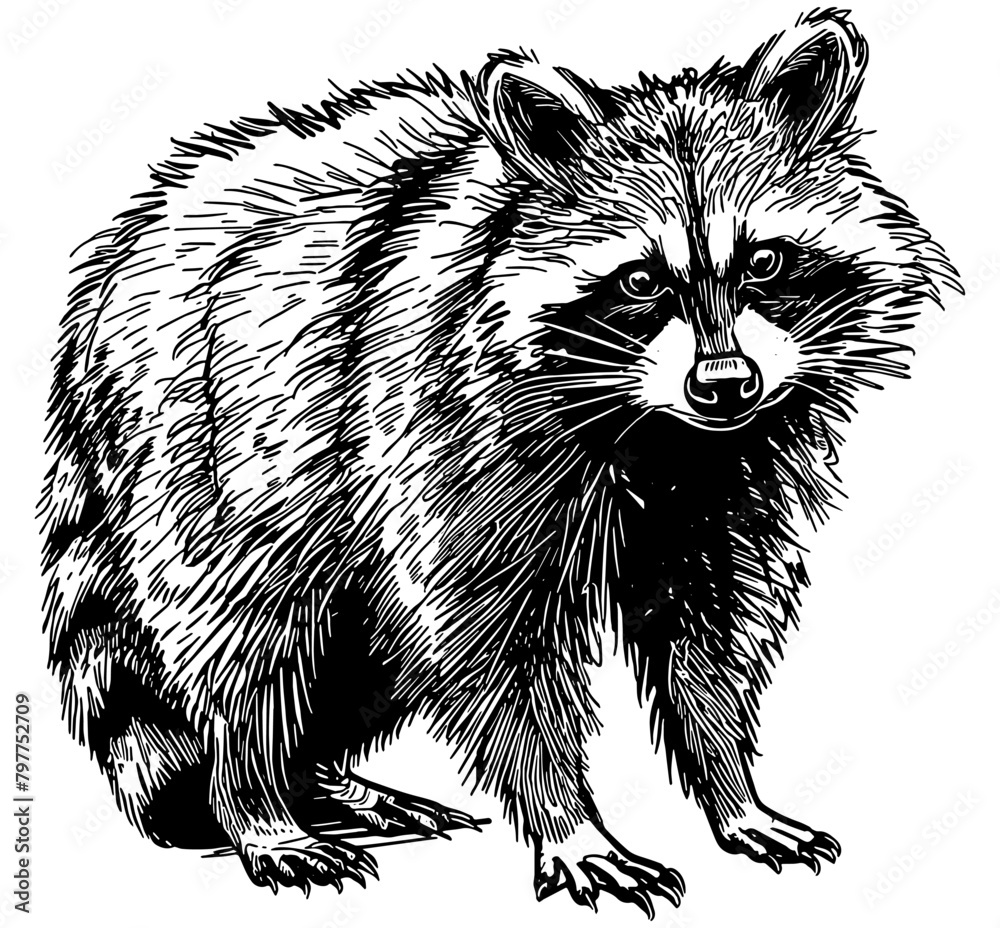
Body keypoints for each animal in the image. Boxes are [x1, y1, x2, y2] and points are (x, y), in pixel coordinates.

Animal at [41, 8, 958, 915]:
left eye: (765, 260)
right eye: (639, 282)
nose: (726, 383)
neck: (658, 431)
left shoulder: (724, 484)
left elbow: (709, 630)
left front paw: (730, 786)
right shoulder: (443, 425)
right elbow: (491, 650)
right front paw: (570, 823)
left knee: (354, 659)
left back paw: (320, 780)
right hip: (213, 449)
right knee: (250, 639)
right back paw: (256, 797)